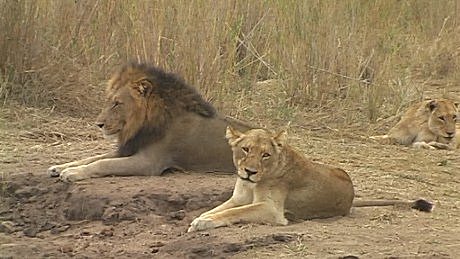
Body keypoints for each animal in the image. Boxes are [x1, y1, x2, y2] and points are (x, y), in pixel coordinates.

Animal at [46, 63, 252, 183]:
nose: (99, 124)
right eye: (109, 101)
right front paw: (60, 167)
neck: (141, 125)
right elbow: (94, 157)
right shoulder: (129, 148)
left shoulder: (148, 162)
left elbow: (103, 163)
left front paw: (72, 173)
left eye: (117, 103)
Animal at [187, 127, 432, 233]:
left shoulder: (272, 210)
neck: (251, 184)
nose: (249, 171)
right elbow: (221, 208)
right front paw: (201, 217)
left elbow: (233, 212)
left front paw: (203, 222)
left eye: (265, 154)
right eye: (246, 149)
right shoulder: (238, 198)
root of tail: (352, 196)